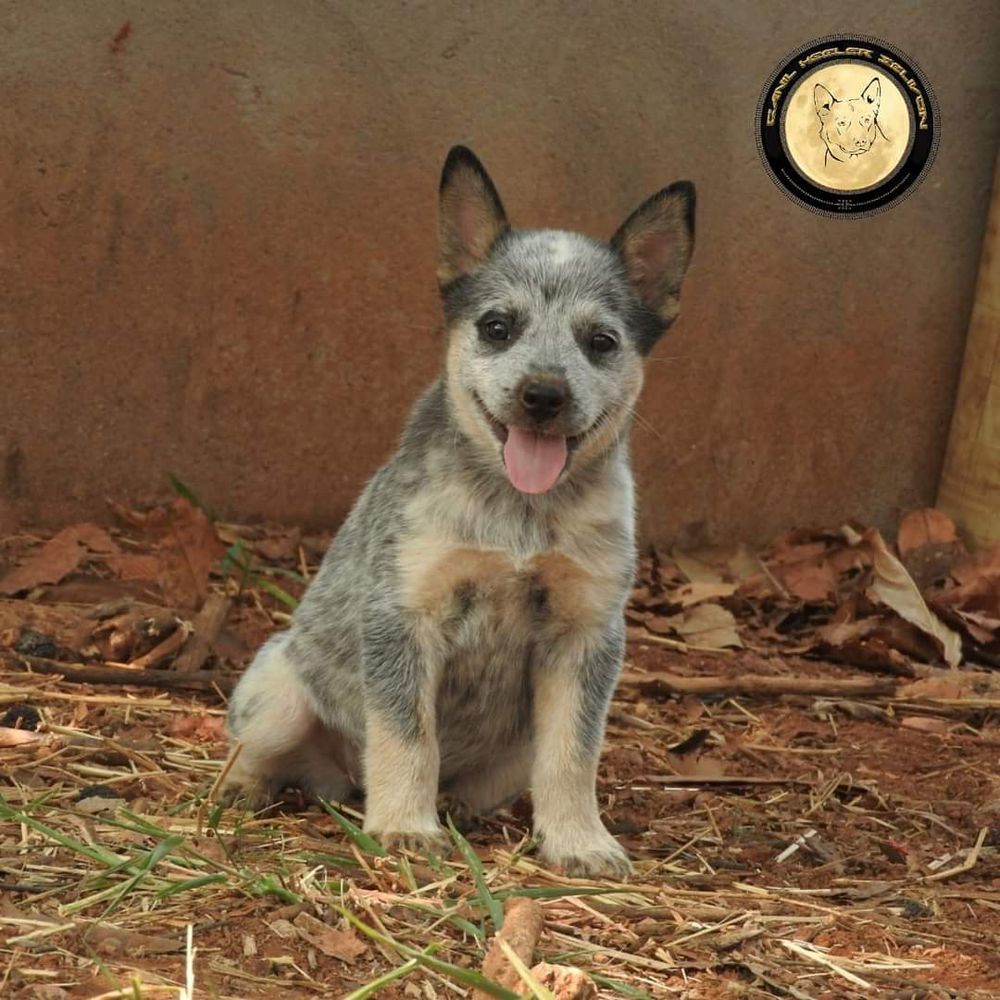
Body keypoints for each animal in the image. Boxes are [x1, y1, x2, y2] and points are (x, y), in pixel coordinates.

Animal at [221, 148, 696, 876]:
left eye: (601, 341)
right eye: (498, 327)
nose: (543, 395)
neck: (520, 514)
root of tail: (340, 781)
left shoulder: (586, 634)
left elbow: (573, 755)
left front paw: (580, 841)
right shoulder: (404, 617)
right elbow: (407, 735)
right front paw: (403, 827)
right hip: (279, 687)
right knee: (253, 746)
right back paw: (248, 789)